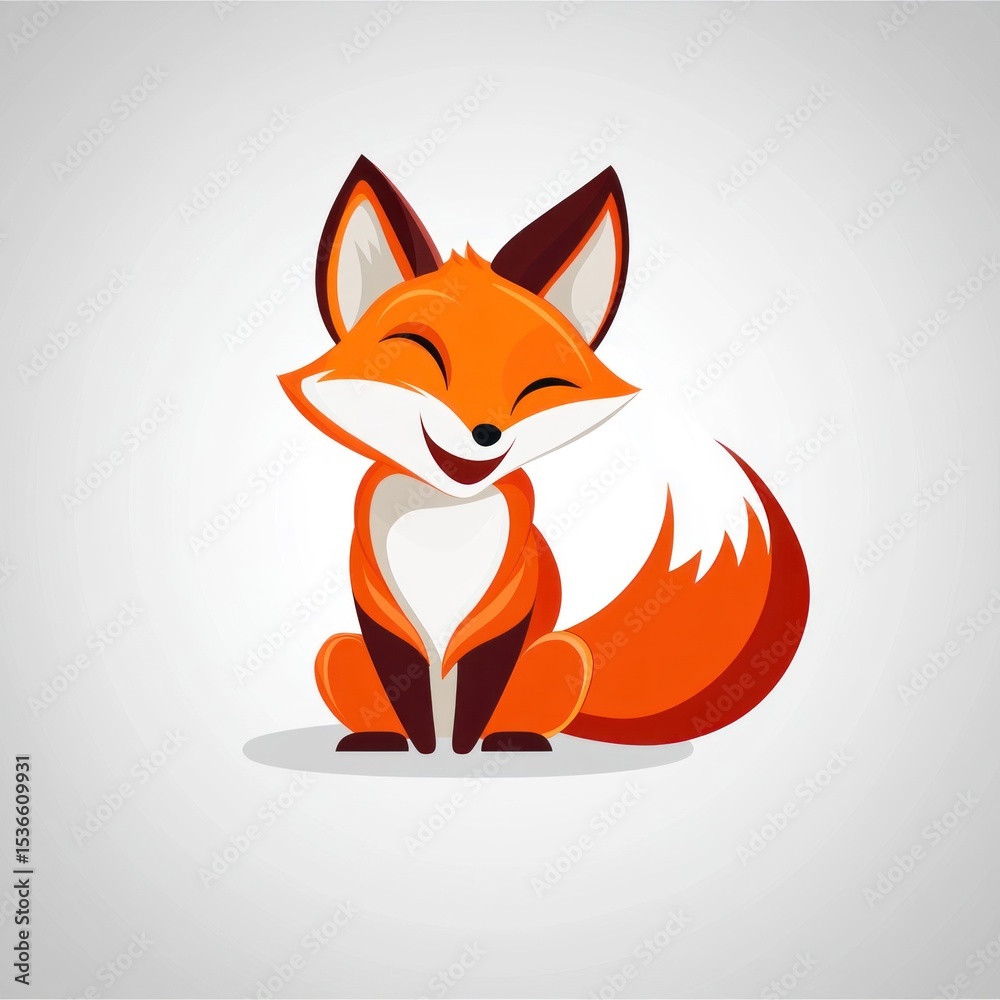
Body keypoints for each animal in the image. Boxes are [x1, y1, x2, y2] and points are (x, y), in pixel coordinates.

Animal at [279, 155, 809, 754]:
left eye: (540, 386)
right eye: (423, 358)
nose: (485, 432)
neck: (445, 520)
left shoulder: (507, 615)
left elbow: (477, 698)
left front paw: (463, 754)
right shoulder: (378, 614)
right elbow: (406, 689)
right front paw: (425, 752)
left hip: (562, 655)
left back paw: (514, 739)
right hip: (338, 649)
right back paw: (379, 739)